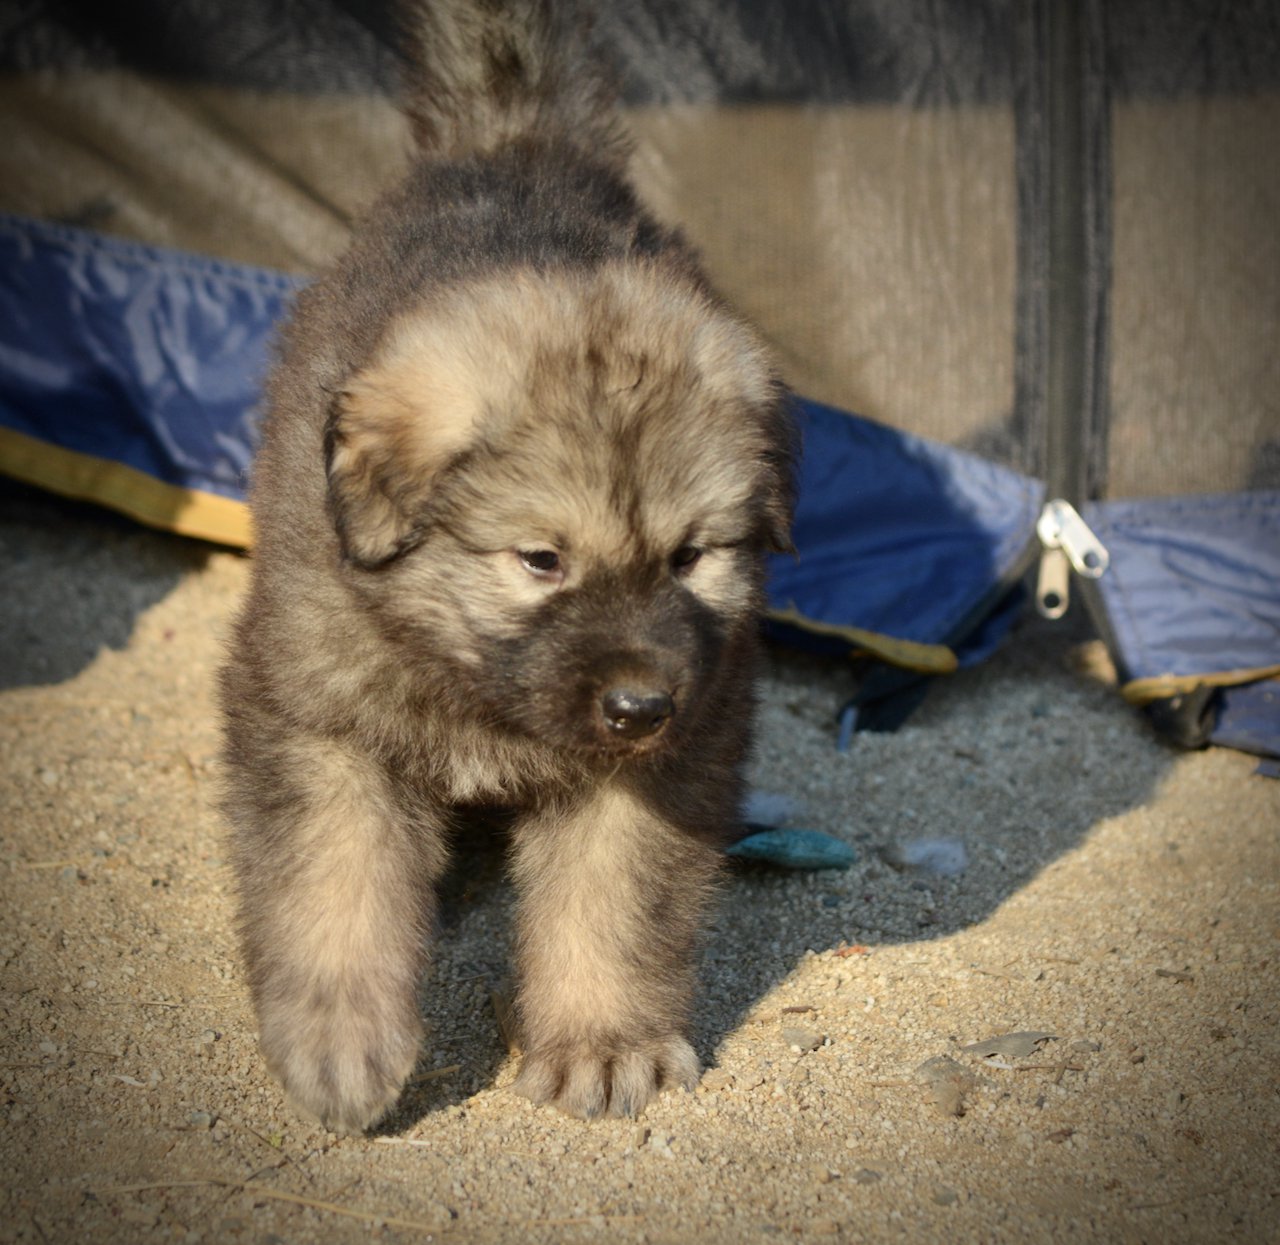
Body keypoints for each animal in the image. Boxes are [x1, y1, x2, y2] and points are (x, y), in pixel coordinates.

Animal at [225, 0, 793, 1131]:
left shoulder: (664, 759)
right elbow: (333, 875)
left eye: (690, 557)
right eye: (540, 560)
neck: (477, 691)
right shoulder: (321, 718)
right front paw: (339, 1037)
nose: (638, 707)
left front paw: (603, 1041)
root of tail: (513, 138)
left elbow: (611, 898)